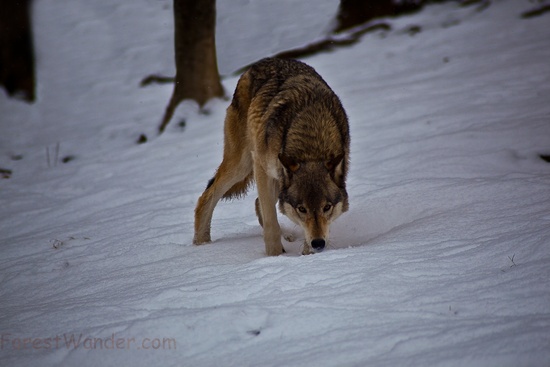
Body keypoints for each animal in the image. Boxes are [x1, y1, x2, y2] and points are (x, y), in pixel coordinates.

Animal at [194, 59, 350, 258]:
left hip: (275, 178)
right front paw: (275, 258)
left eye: (327, 207)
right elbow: (271, 224)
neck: (311, 142)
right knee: (206, 197)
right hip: (243, 165)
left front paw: (307, 255)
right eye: (302, 209)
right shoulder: (261, 167)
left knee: (256, 202)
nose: (318, 244)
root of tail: (259, 63)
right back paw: (202, 245)